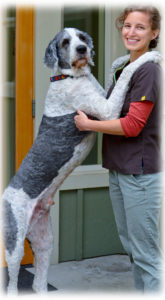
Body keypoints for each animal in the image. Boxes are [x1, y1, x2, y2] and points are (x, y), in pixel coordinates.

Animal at [1, 28, 127, 292]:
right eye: (66, 42)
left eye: (82, 37)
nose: (82, 49)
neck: (69, 77)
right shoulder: (108, 110)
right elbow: (127, 77)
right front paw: (152, 56)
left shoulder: (105, 97)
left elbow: (116, 75)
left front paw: (122, 59)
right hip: (14, 244)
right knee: (13, 282)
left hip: (44, 240)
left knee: (38, 283)